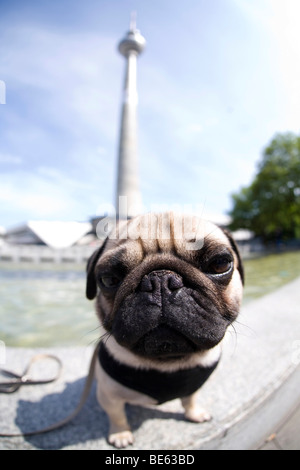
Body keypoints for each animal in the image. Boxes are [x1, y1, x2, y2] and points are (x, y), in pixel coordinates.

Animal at [85, 213, 244, 448]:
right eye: (109, 279)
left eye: (220, 264)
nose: (160, 279)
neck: (168, 362)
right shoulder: (109, 395)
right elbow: (117, 416)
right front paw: (121, 434)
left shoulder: (193, 386)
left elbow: (190, 399)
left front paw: (194, 413)